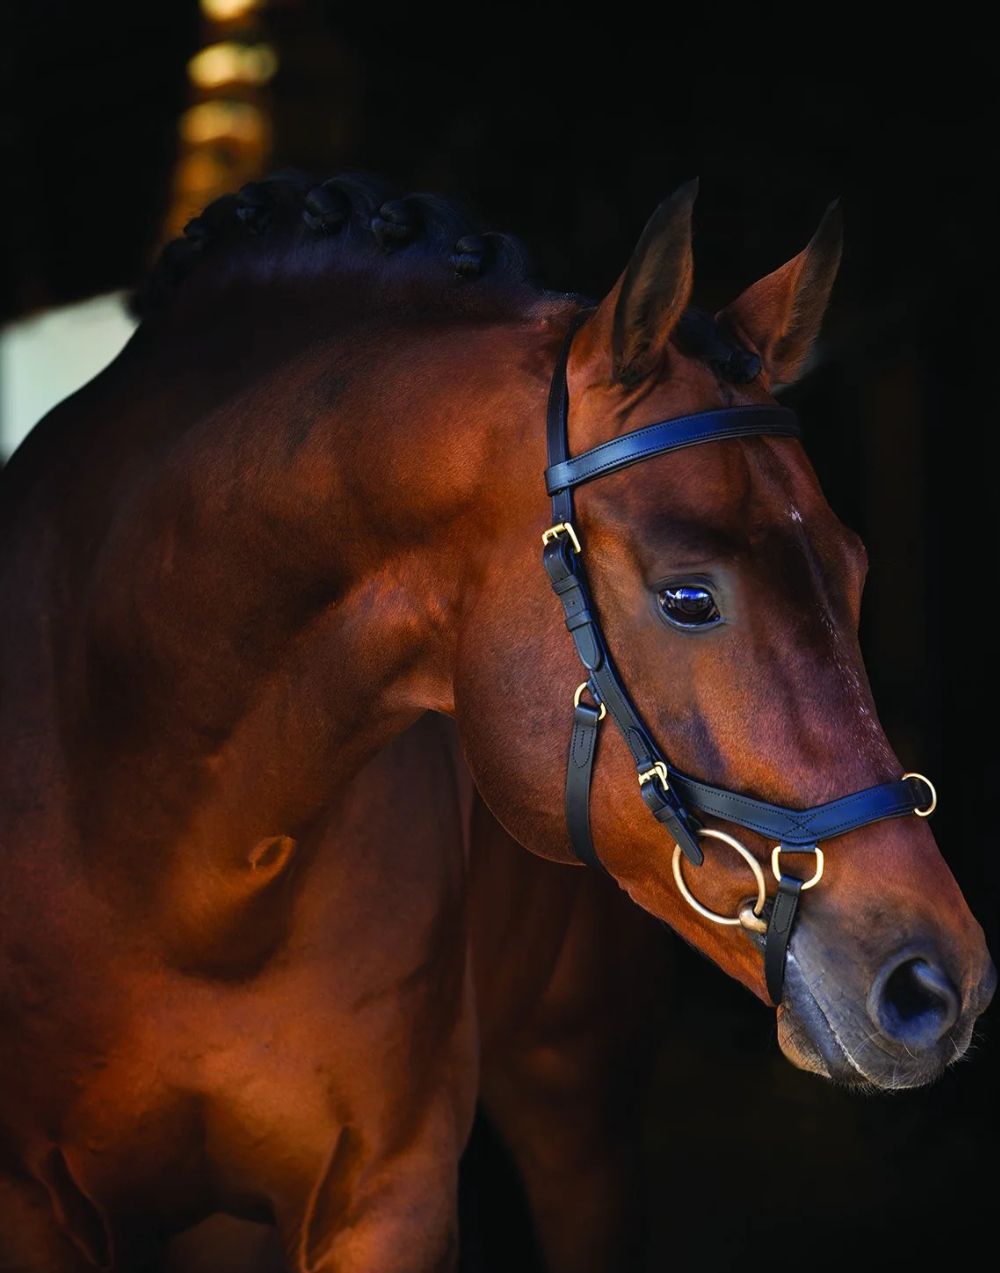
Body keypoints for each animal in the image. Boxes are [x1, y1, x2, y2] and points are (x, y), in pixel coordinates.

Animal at [0, 166, 993, 1271]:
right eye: (689, 598)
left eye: (855, 572)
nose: (936, 985)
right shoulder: (32, 1207)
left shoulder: (388, 1198)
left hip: (577, 1116)